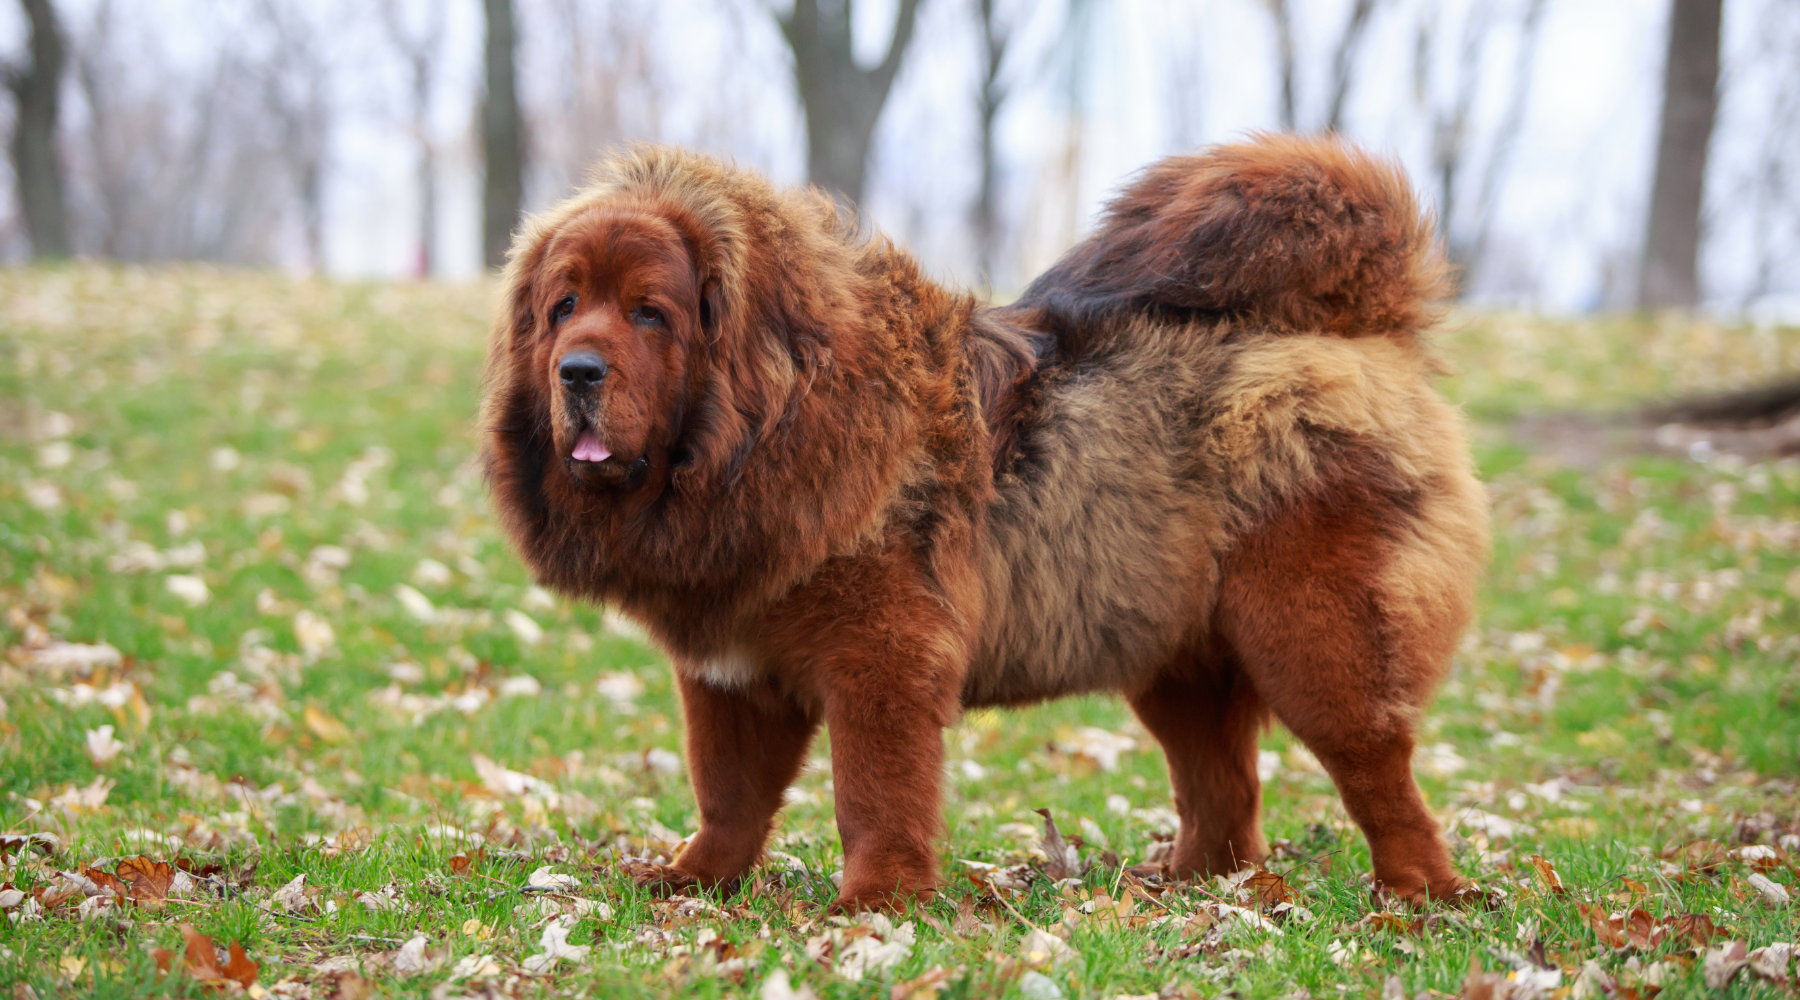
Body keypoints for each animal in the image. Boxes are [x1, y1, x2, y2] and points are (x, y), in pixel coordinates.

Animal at [482, 134, 1490, 913]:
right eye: (563, 307)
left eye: (649, 314)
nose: (577, 371)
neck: (766, 430)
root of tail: (1365, 330)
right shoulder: (730, 673)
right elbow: (727, 794)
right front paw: (692, 882)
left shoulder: (880, 656)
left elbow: (874, 792)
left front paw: (875, 903)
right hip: (1175, 657)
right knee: (1227, 794)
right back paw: (1188, 887)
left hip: (1312, 637)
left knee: (1377, 771)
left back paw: (1420, 896)